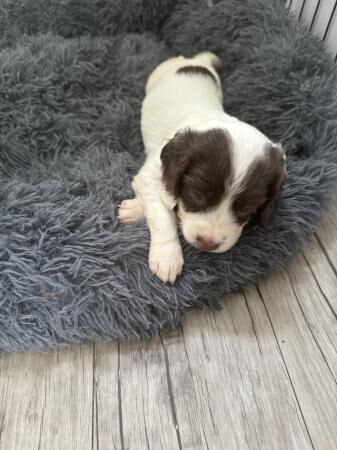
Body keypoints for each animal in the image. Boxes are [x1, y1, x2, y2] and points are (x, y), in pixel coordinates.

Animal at [117, 51, 284, 282]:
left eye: (246, 209)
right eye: (197, 195)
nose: (208, 243)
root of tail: (194, 60)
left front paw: (135, 209)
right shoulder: (152, 174)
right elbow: (163, 213)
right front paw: (167, 257)